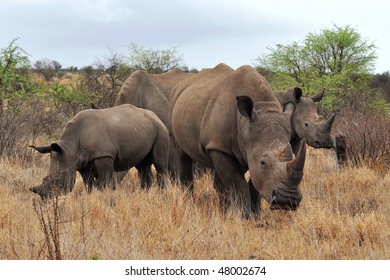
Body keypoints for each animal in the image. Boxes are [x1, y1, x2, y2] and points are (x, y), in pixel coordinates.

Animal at [29, 103, 170, 199]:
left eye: (58, 179)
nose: (47, 198)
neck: (70, 148)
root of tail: (154, 115)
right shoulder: (83, 163)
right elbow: (88, 184)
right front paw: (90, 197)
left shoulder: (103, 156)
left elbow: (103, 182)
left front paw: (105, 197)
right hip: (143, 128)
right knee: (142, 165)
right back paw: (144, 194)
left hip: (161, 129)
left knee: (159, 164)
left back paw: (162, 194)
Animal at [169, 64, 306, 217]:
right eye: (263, 162)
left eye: (293, 156)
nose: (287, 200)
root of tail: (180, 86)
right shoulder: (220, 148)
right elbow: (237, 184)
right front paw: (244, 217)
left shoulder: (245, 148)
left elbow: (254, 182)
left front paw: (256, 215)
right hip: (174, 106)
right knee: (182, 155)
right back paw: (189, 204)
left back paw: (224, 210)